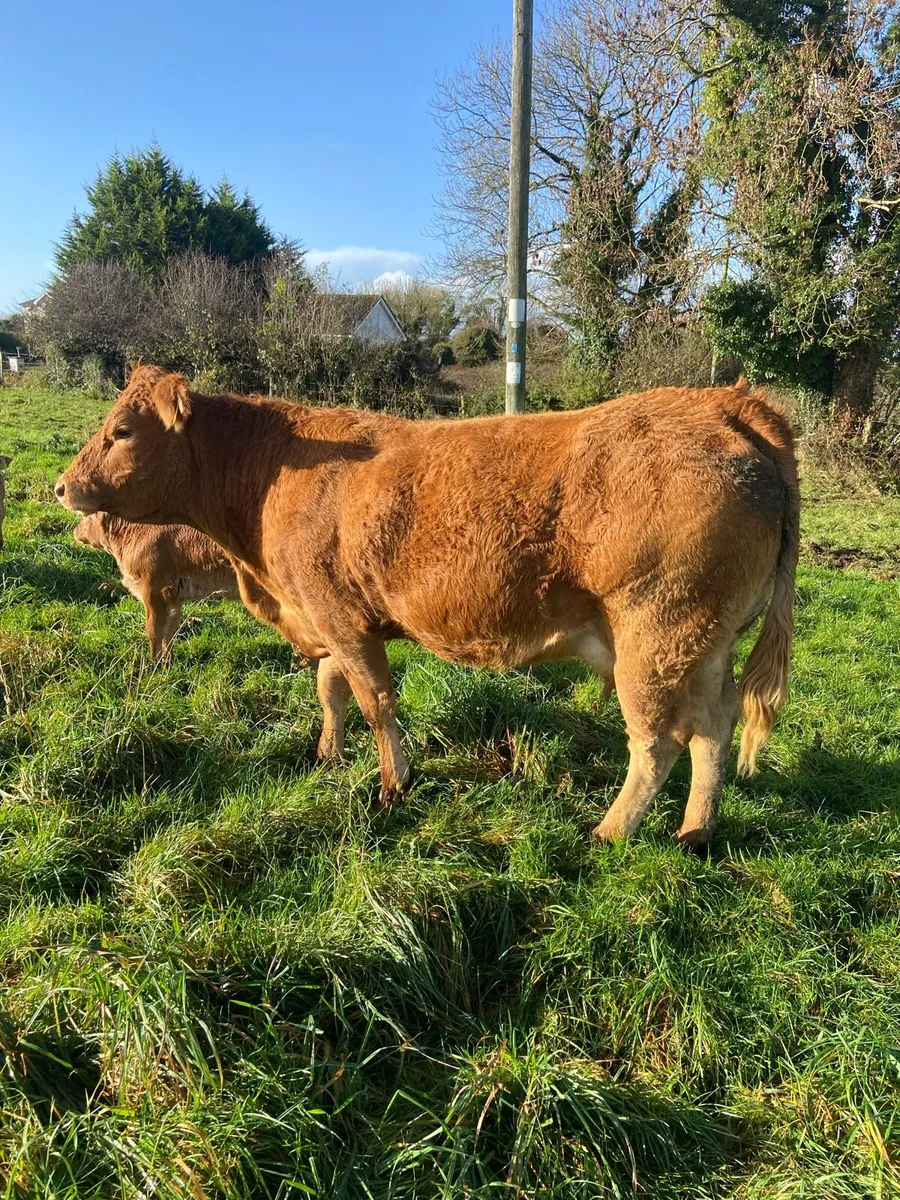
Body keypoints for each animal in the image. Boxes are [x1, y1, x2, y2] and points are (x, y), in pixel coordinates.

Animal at [73, 512, 239, 660]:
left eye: (85, 515)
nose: (75, 531)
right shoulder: (174, 598)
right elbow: (170, 631)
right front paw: (167, 663)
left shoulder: (154, 592)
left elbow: (155, 631)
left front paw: (153, 663)